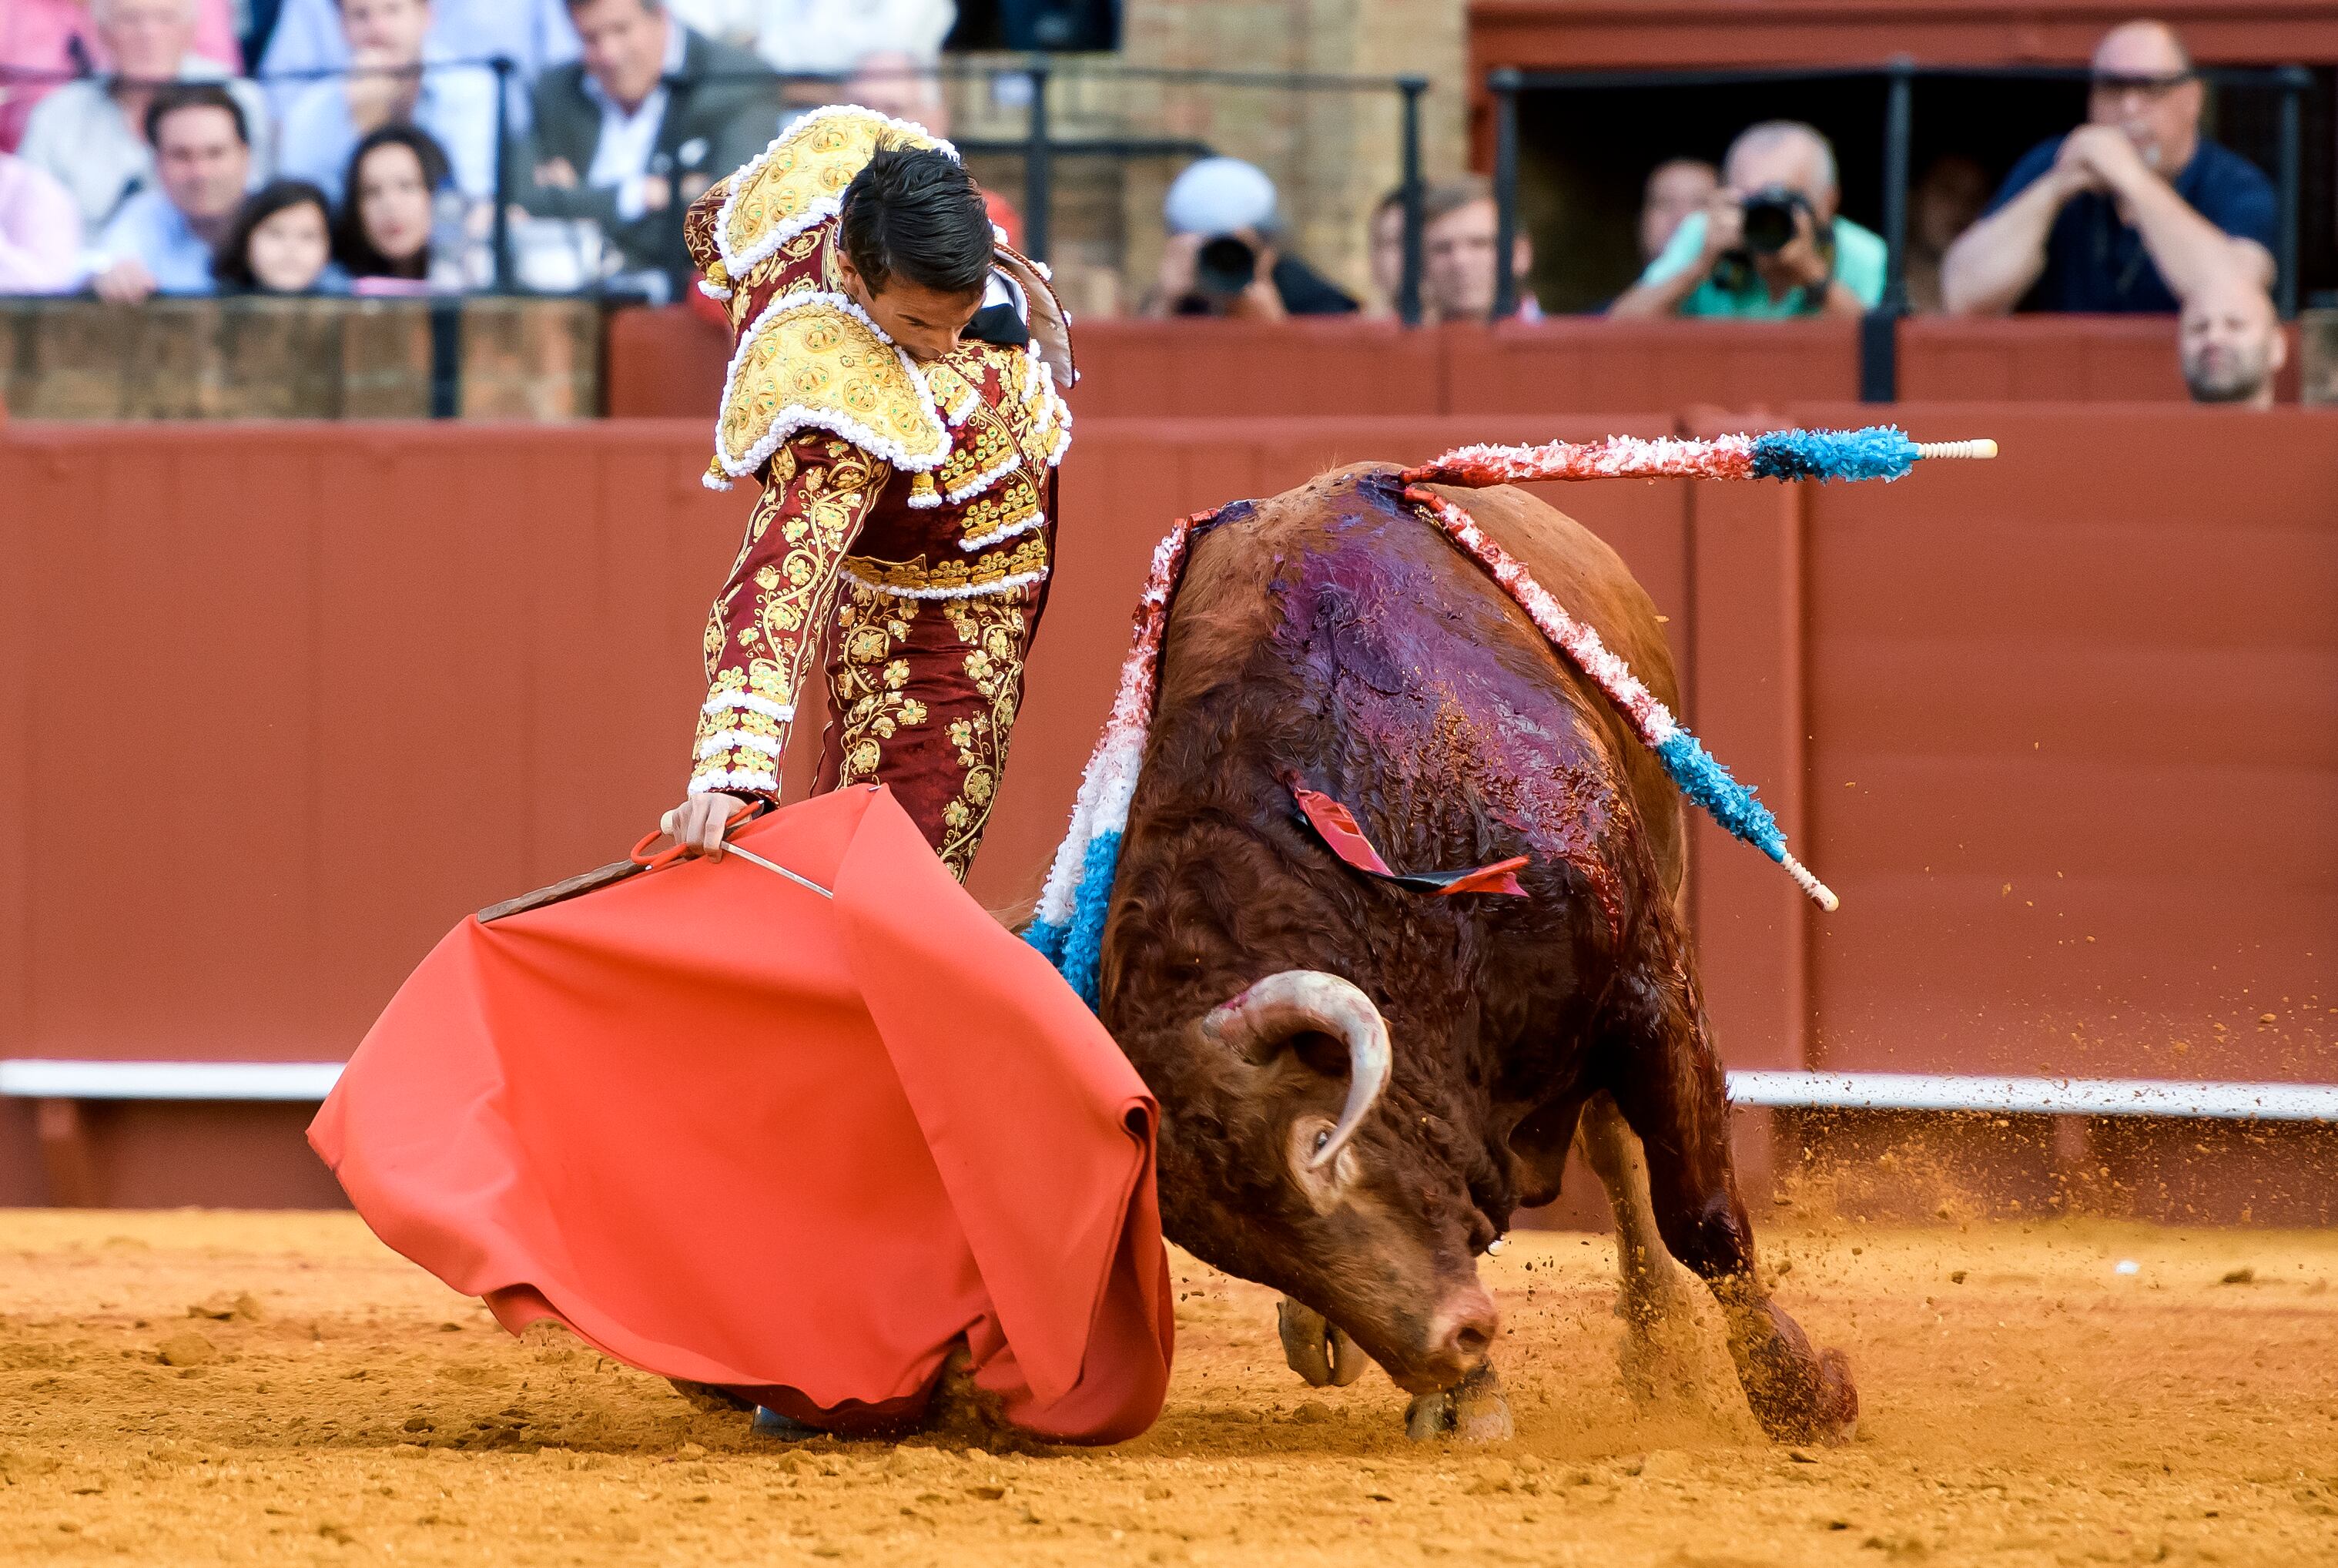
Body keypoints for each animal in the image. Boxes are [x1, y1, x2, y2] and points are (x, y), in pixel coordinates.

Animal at [1084, 460, 1851, 1439]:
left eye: (1320, 1142)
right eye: (1229, 1247)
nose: (1449, 1342)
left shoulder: (1650, 982)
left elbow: (1703, 1217)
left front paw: (1803, 1393)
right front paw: (1463, 1394)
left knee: (1619, 1156)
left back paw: (1661, 1357)